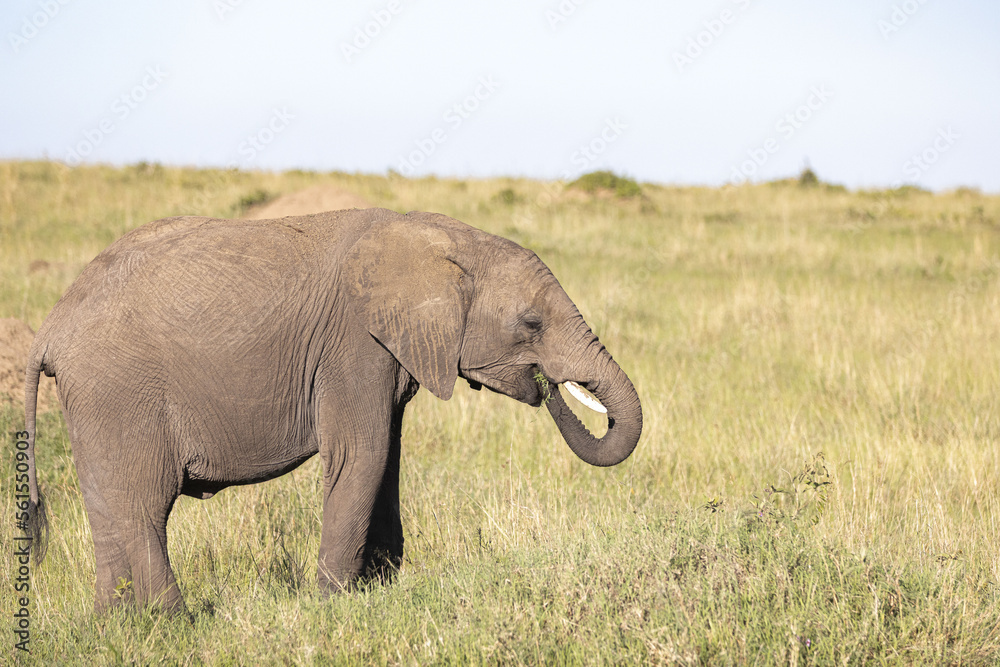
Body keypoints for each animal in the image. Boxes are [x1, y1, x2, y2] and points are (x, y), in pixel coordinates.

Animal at [22, 207, 642, 613]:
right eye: (531, 324)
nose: (547, 384)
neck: (448, 239)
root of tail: (50, 328)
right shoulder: (353, 347)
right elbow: (362, 457)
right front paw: (335, 609)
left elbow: (388, 462)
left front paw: (382, 591)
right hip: (121, 390)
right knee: (144, 506)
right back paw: (178, 622)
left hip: (93, 400)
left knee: (107, 507)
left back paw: (117, 627)